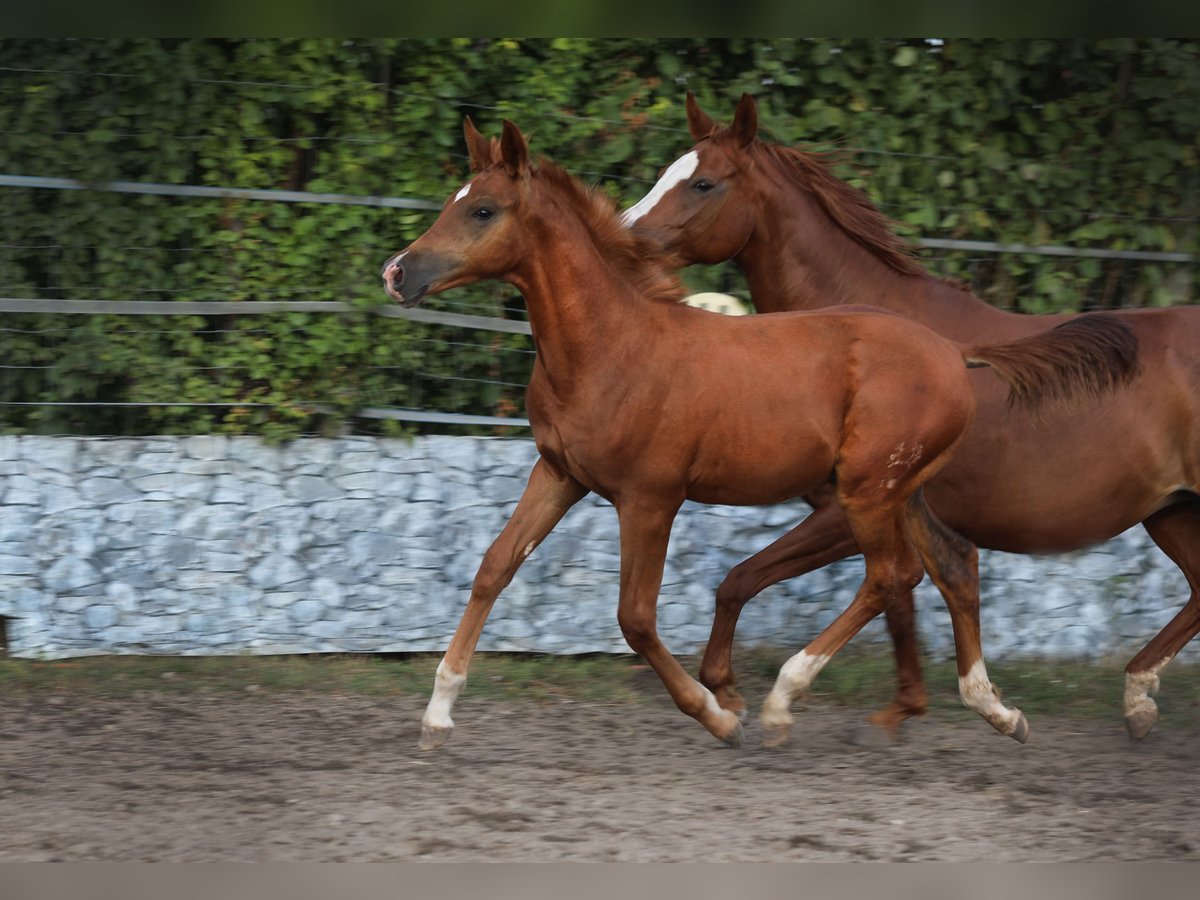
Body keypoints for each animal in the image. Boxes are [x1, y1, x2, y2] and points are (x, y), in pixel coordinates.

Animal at [379, 120, 1137, 753]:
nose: (397, 273)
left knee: (891, 575)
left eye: (482, 209)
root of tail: (956, 352)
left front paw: (719, 714)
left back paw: (783, 700)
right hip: (900, 490)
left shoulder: (650, 498)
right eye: (454, 200)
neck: (610, 345)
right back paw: (994, 709)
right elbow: (493, 567)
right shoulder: (559, 474)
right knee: (946, 564)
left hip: (864, 491)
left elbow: (636, 617)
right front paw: (438, 712)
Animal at [624, 90, 1200, 739]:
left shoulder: (845, 510)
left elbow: (748, 579)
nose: (623, 237)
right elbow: (910, 594)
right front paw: (915, 704)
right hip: (1171, 511)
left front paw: (747, 693)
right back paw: (1138, 699)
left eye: (703, 183)